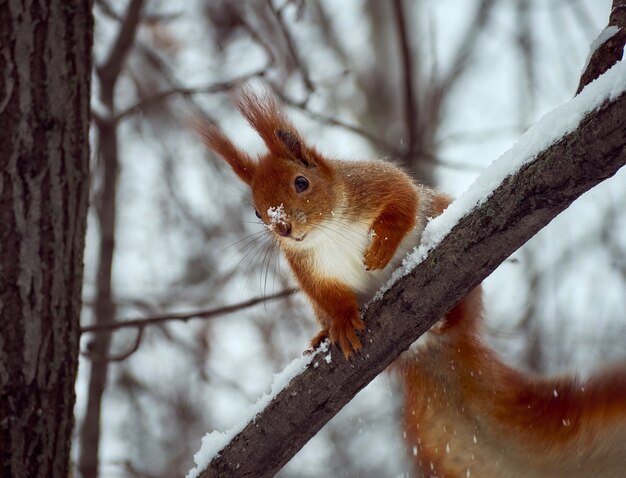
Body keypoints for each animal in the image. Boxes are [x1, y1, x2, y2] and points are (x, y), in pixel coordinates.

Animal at [199, 88, 624, 476]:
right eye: (257, 211)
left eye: (301, 182)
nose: (282, 227)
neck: (325, 234)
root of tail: (428, 350)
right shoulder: (308, 270)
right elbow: (330, 296)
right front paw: (341, 322)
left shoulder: (376, 184)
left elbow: (402, 202)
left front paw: (379, 250)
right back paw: (321, 336)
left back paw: (446, 317)